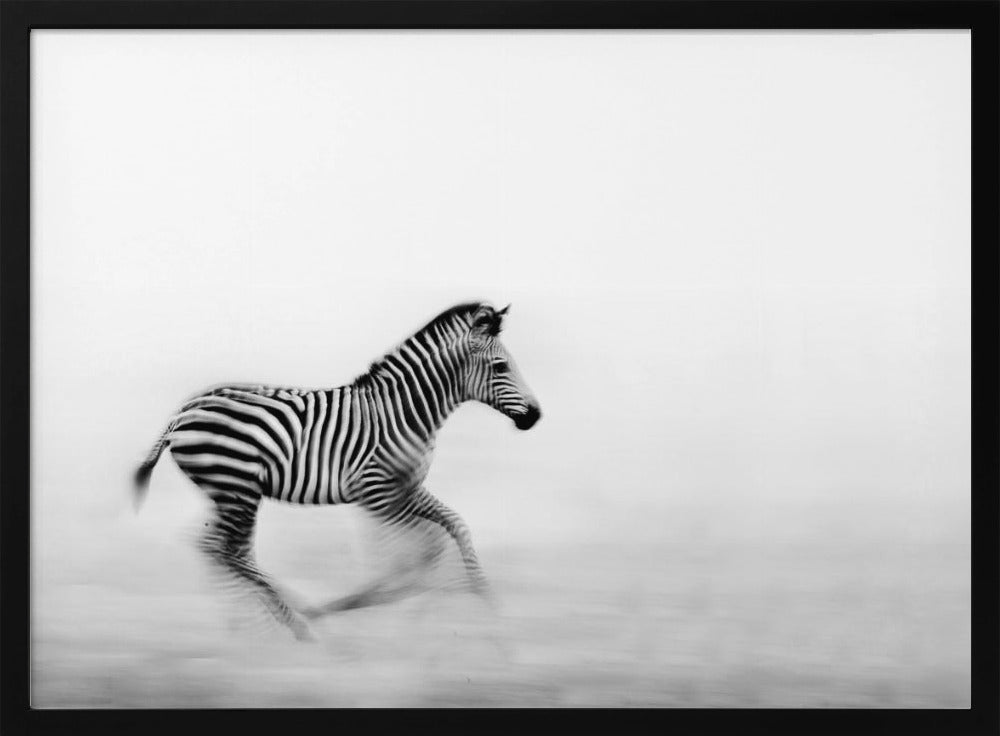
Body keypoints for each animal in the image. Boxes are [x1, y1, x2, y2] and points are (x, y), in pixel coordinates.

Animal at [133, 302, 541, 640]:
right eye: (501, 367)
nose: (535, 416)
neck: (406, 412)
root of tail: (183, 412)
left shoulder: (405, 489)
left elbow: (453, 529)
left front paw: (487, 603)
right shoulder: (377, 494)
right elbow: (408, 556)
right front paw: (375, 606)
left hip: (228, 491)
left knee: (221, 548)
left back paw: (253, 626)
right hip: (238, 487)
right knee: (225, 549)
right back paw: (293, 623)